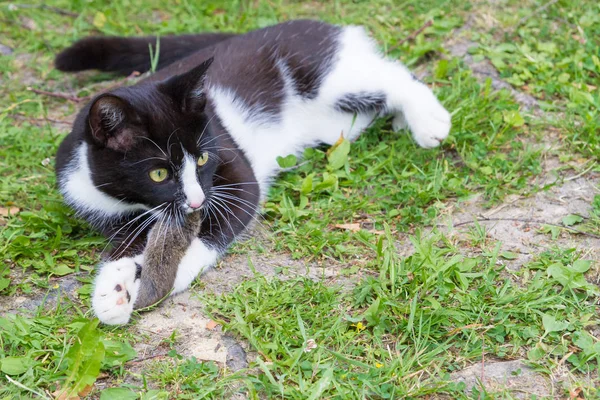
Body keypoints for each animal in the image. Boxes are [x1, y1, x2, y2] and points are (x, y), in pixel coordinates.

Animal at [56, 19, 450, 324]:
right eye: (158, 175)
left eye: (203, 159)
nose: (197, 202)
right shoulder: (106, 207)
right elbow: (126, 245)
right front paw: (112, 292)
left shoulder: (233, 168)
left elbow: (220, 223)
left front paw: (170, 274)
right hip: (337, 123)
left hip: (323, 72)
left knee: (391, 76)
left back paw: (428, 120)